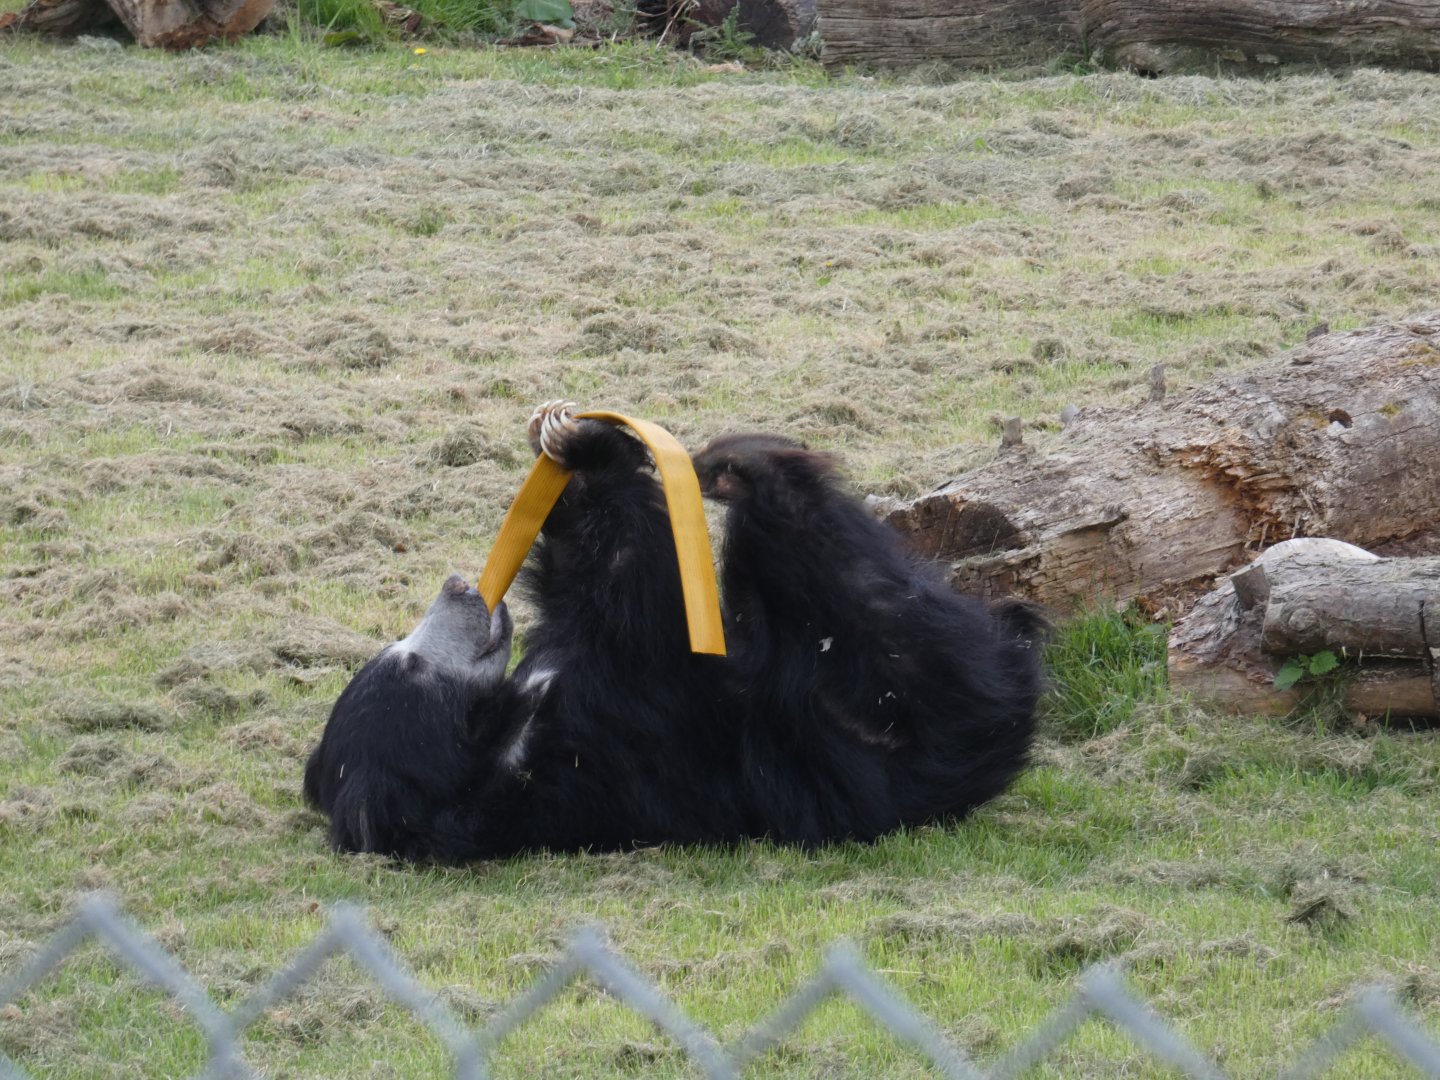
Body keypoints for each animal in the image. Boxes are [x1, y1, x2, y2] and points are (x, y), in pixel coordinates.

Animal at [302, 403, 1043, 861]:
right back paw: (748, 468)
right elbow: (637, 592)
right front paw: (597, 449)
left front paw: (562, 439)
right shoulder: (599, 741)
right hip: (868, 713)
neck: (503, 734)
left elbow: (579, 590)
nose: (459, 586)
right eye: (411, 667)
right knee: (844, 577)